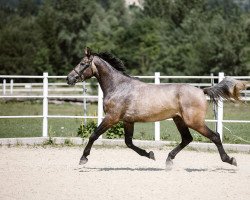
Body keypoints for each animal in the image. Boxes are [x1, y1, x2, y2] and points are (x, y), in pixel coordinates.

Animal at [67, 47, 248, 170]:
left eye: (82, 63)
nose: (69, 78)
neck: (119, 87)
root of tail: (201, 90)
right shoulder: (127, 121)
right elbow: (129, 143)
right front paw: (150, 155)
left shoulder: (112, 118)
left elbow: (94, 135)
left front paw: (83, 158)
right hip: (179, 119)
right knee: (187, 139)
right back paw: (168, 160)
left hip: (194, 121)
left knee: (215, 136)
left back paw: (230, 160)